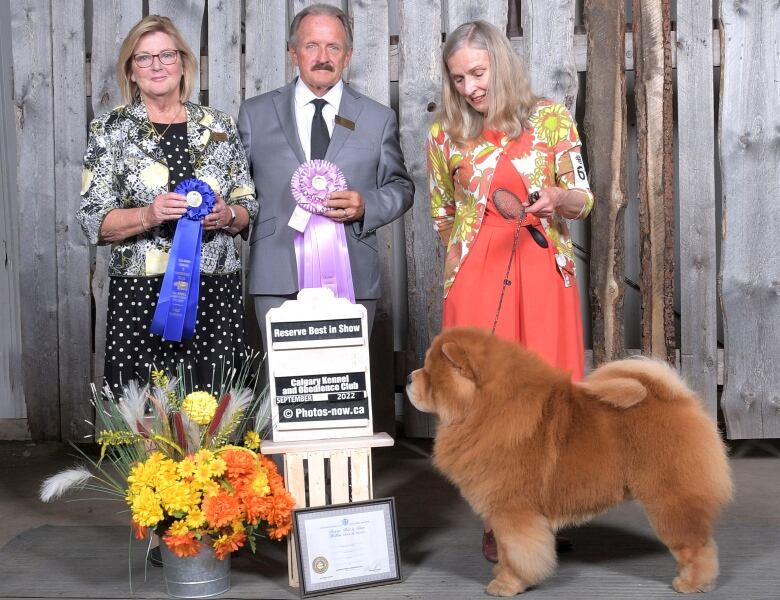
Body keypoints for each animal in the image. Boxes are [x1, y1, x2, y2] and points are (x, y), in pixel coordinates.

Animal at [406, 328, 736, 596]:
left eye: (431, 373)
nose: (409, 377)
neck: (484, 409)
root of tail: (679, 397)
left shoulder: (513, 511)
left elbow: (516, 553)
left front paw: (507, 585)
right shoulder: (505, 512)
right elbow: (505, 550)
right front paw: (502, 574)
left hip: (669, 496)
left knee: (695, 544)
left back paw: (691, 583)